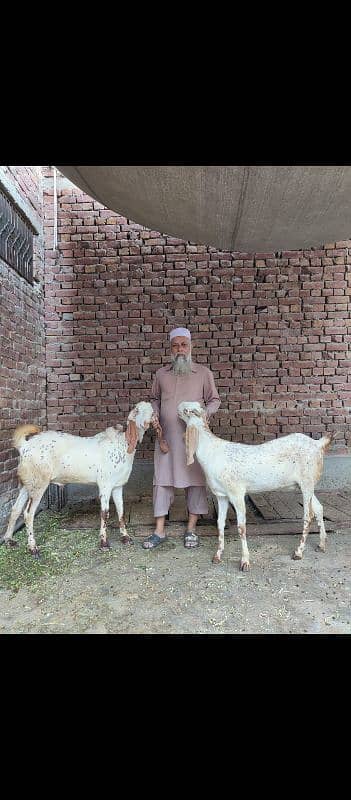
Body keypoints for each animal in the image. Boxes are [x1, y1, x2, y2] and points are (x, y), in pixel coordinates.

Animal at [1, 400, 164, 556]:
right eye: (137, 410)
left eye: (151, 410)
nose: (148, 420)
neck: (122, 444)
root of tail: (24, 446)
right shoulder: (105, 484)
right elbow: (105, 513)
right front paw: (104, 543)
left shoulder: (118, 486)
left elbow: (121, 511)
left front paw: (125, 537)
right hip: (39, 482)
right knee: (28, 513)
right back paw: (33, 549)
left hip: (27, 482)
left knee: (16, 509)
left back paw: (9, 540)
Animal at [177, 404, 336, 572]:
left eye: (187, 410)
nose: (178, 408)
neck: (212, 453)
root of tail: (318, 444)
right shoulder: (221, 495)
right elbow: (220, 523)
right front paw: (218, 555)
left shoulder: (237, 493)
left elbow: (241, 527)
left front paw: (245, 562)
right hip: (305, 485)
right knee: (319, 508)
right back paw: (321, 544)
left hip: (306, 483)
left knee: (308, 515)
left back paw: (298, 552)